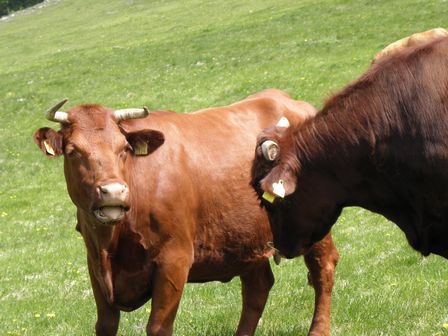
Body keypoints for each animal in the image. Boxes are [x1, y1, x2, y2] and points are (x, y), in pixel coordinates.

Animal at [33, 89, 338, 336]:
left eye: (124, 149)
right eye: (73, 151)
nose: (114, 192)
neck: (112, 242)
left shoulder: (174, 258)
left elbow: (158, 327)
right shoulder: (95, 266)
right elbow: (105, 325)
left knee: (323, 268)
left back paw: (318, 330)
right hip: (245, 236)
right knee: (258, 287)